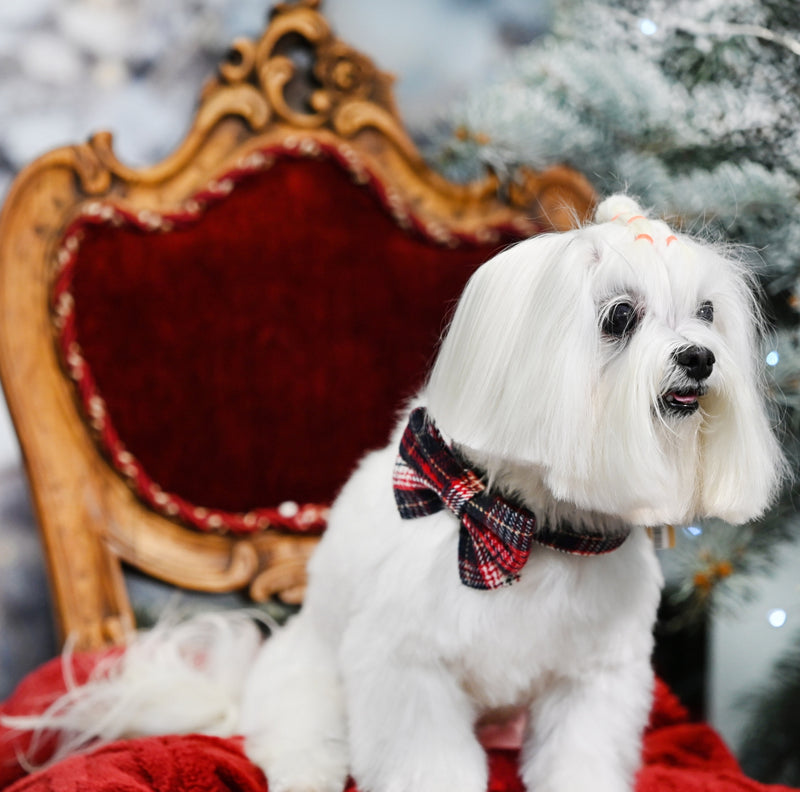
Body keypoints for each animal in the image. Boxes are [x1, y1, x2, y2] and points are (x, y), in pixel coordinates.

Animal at [7, 193, 788, 792]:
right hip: (309, 683)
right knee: (292, 738)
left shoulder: (593, 681)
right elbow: (428, 762)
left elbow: (579, 758)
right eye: (619, 317)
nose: (699, 358)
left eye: (707, 313)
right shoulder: (408, 669)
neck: (530, 531)